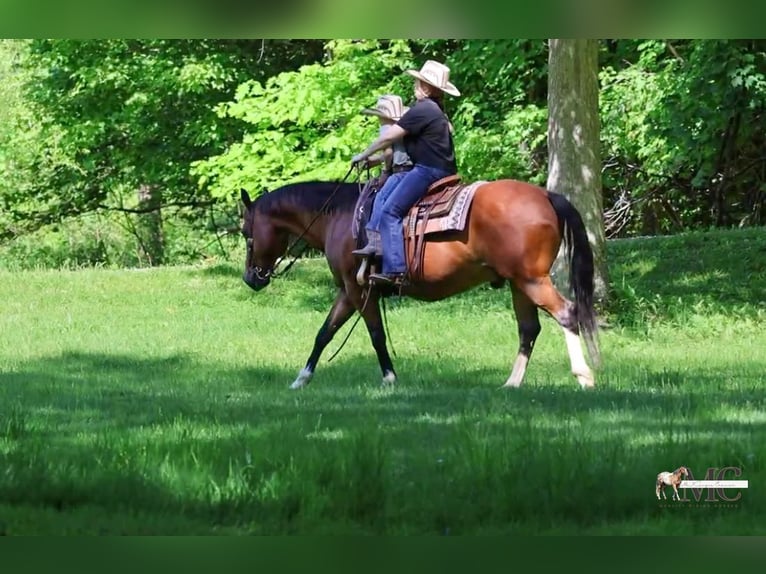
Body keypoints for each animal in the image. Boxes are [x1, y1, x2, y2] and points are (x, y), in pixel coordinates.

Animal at [239, 176, 600, 390]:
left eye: (246, 233)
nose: (251, 278)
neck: (339, 216)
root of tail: (545, 194)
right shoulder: (347, 291)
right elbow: (324, 333)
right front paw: (301, 379)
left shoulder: (360, 290)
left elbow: (375, 335)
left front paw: (389, 378)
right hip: (518, 283)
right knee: (529, 330)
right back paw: (511, 384)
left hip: (532, 280)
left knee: (567, 314)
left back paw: (584, 377)